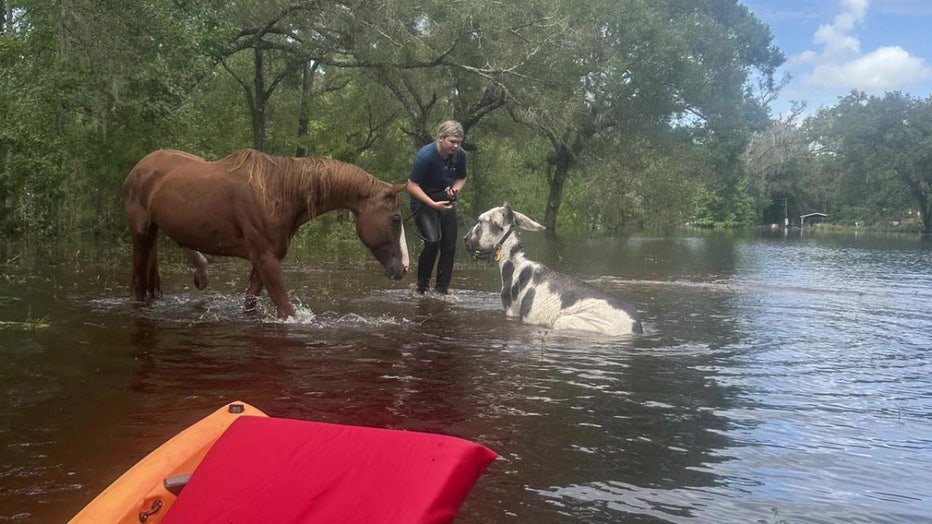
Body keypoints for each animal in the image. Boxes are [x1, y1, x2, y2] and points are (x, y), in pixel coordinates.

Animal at [124, 148, 408, 320]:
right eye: (395, 219)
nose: (402, 268)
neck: (277, 194)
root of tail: (139, 166)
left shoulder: (263, 260)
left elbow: (250, 303)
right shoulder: (266, 260)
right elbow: (288, 311)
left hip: (154, 233)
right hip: (141, 233)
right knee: (138, 283)